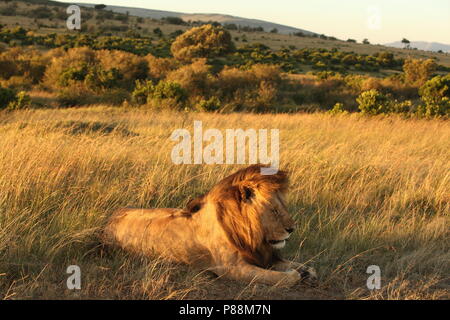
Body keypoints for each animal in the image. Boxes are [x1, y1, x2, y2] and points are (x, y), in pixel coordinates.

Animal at [103, 165, 318, 288]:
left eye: (283, 207)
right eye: (274, 210)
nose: (292, 229)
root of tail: (109, 218)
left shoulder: (263, 256)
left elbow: (297, 264)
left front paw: (308, 271)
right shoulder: (232, 269)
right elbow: (280, 278)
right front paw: (296, 275)